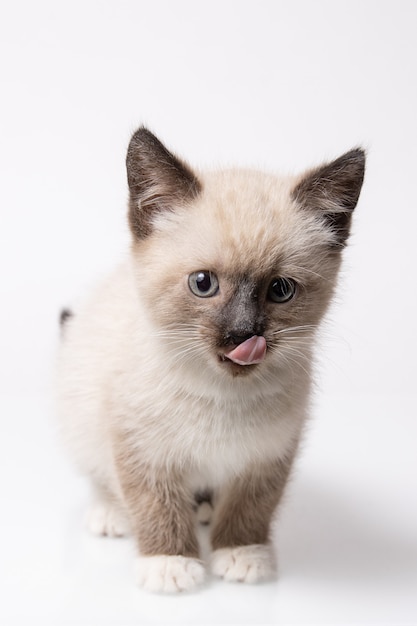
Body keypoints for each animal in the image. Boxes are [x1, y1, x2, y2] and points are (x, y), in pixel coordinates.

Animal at [56, 127, 364, 588]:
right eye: (203, 284)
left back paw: (203, 510)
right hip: (82, 414)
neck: (221, 395)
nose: (243, 334)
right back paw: (111, 514)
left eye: (280, 290)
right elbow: (156, 506)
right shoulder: (142, 450)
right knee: (101, 476)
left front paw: (240, 554)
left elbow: (249, 509)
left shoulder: (266, 457)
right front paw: (170, 564)